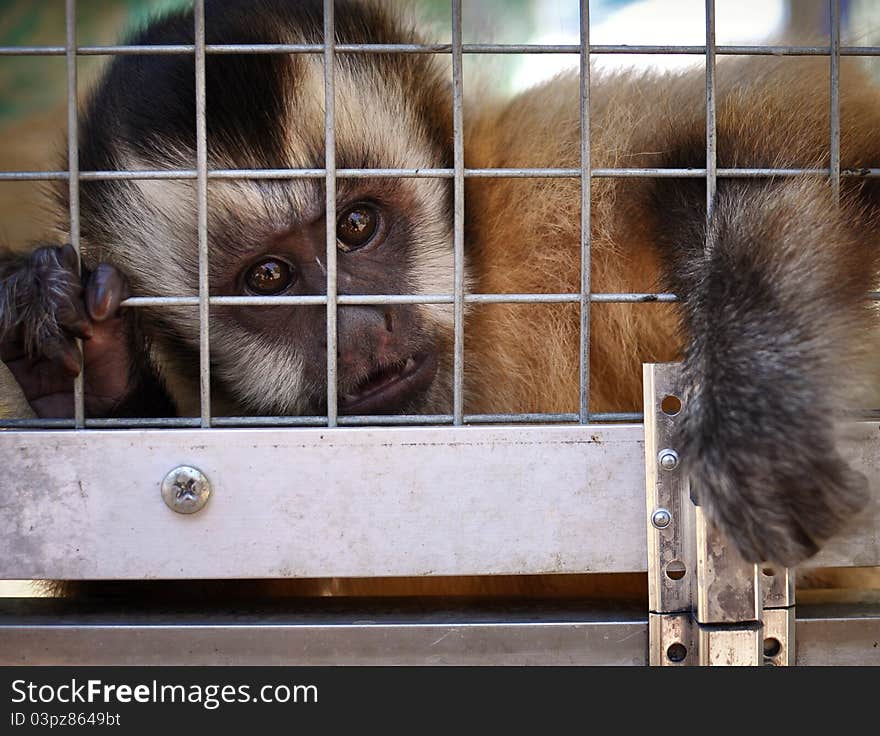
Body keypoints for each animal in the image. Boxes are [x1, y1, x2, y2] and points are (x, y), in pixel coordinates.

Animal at [0, 0, 876, 580]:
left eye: (357, 226)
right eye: (269, 278)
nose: (359, 326)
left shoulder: (552, 167)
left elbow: (783, 158)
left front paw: (757, 397)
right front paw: (90, 370)